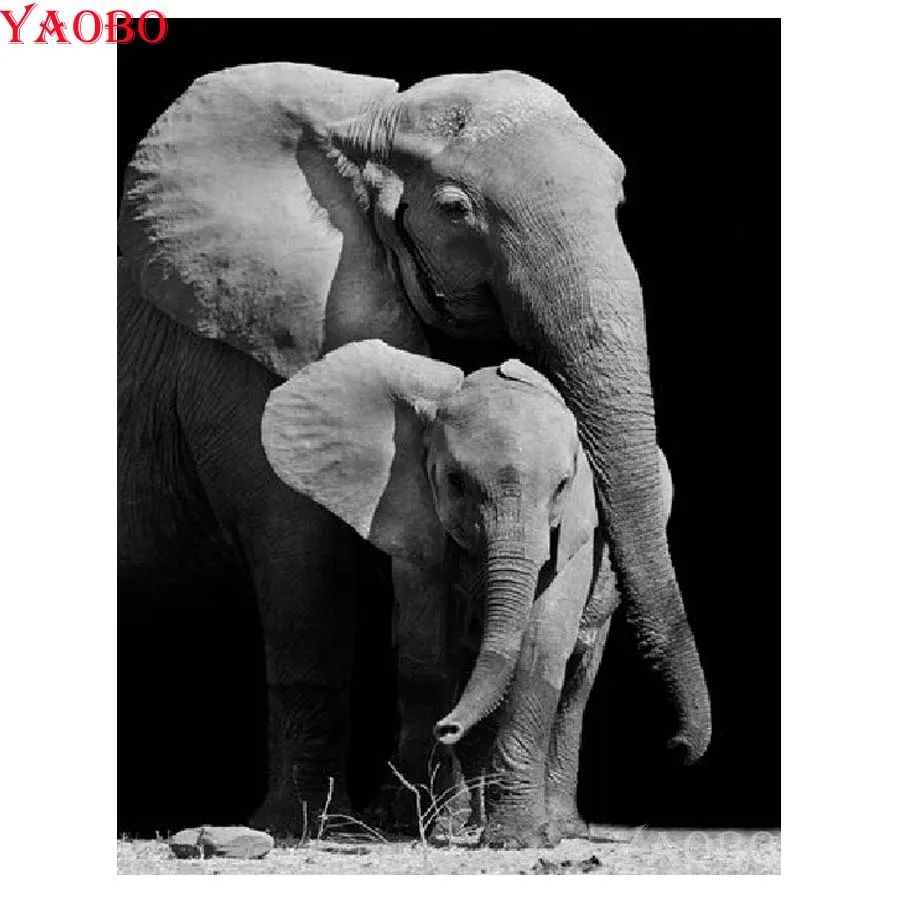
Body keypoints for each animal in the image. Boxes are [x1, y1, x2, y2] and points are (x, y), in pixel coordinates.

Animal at [260, 339, 675, 847]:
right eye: (455, 482)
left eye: (562, 486)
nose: (448, 727)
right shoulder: (414, 521)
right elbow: (425, 651)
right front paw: (423, 823)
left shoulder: (579, 533)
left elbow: (540, 649)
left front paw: (517, 839)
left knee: (576, 681)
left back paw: (557, 825)